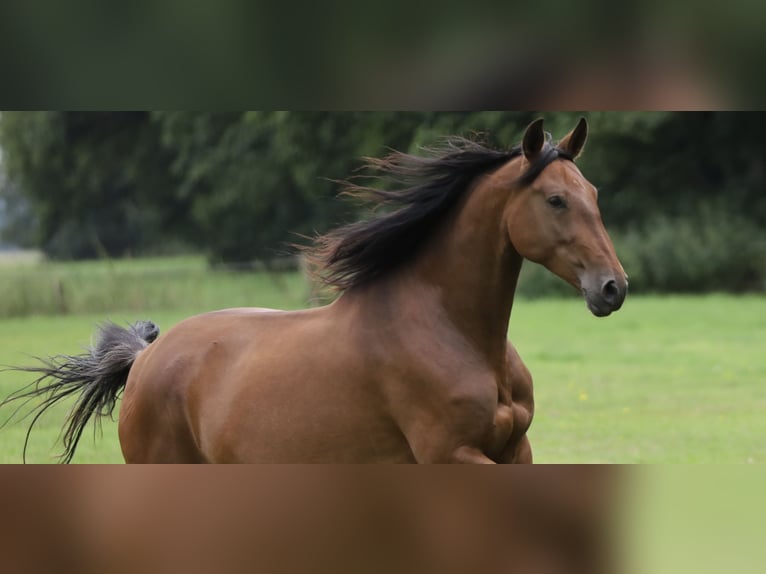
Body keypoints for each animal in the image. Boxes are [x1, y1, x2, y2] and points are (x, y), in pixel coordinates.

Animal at [2, 117, 627, 463]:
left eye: (594, 192)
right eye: (555, 200)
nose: (613, 288)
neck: (459, 337)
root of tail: (145, 358)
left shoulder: (516, 452)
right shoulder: (451, 455)